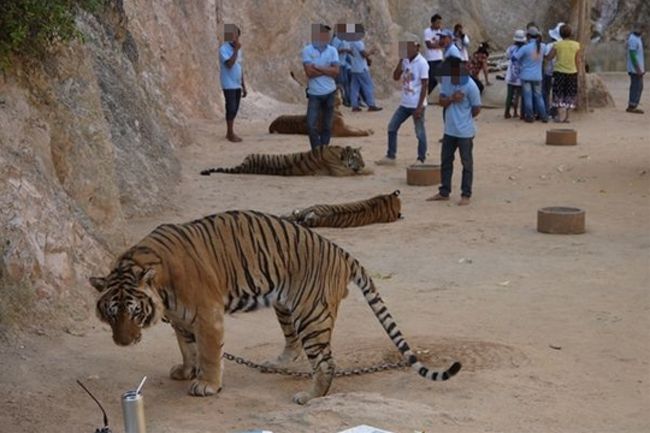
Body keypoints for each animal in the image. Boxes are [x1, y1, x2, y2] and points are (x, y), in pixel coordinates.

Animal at [90, 211, 460, 404]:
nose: (123, 342)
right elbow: (187, 347)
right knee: (293, 345)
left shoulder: (207, 315)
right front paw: (186, 370)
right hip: (285, 305)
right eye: (111, 312)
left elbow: (209, 352)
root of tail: (341, 252)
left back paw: (309, 396)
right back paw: (276, 364)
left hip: (311, 314)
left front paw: (207, 384)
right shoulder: (181, 319)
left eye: (134, 311)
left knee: (326, 362)